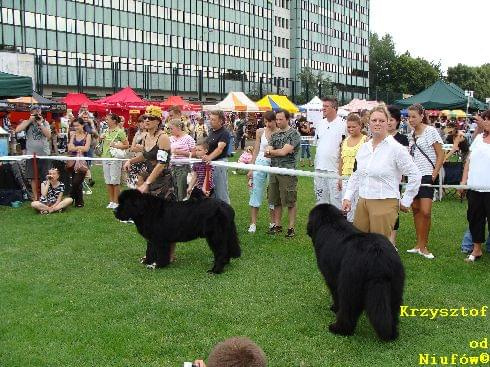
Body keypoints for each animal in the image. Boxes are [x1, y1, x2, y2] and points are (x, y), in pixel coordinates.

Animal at [308, 204, 404, 342]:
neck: (331, 222)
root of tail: (377, 257)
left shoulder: (331, 278)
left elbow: (335, 294)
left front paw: (334, 308)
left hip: (350, 285)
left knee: (348, 310)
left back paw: (338, 329)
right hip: (395, 286)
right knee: (392, 310)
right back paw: (392, 333)